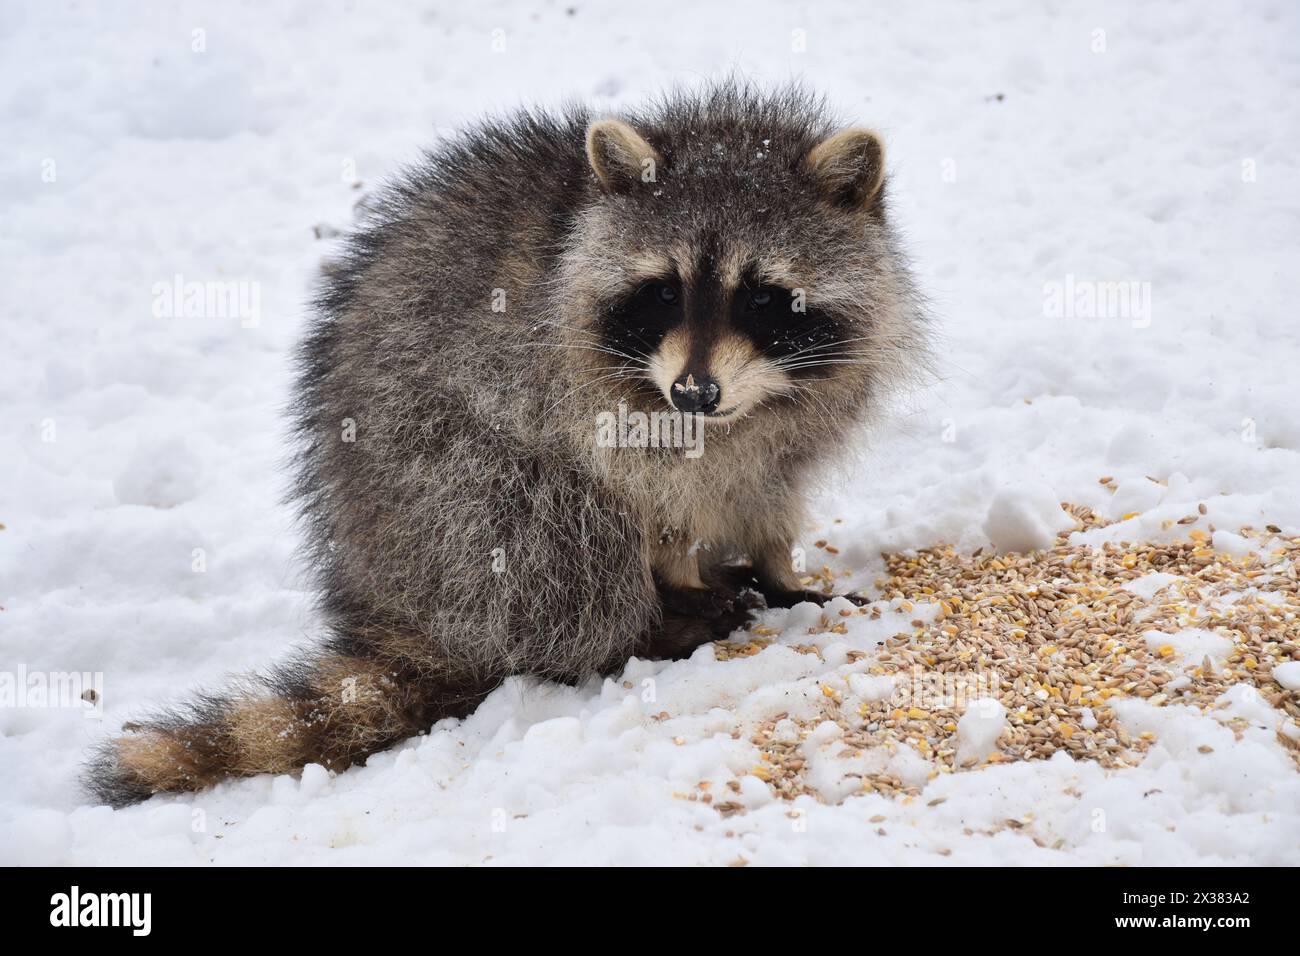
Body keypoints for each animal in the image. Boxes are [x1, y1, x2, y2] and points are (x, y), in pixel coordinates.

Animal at [87, 83, 926, 806]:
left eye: (761, 296)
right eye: (663, 290)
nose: (694, 394)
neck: (732, 415)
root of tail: (393, 603)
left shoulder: (799, 412)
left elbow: (769, 488)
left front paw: (782, 569)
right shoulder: (577, 392)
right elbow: (647, 499)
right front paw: (686, 576)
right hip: (447, 495)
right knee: (550, 529)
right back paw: (654, 622)